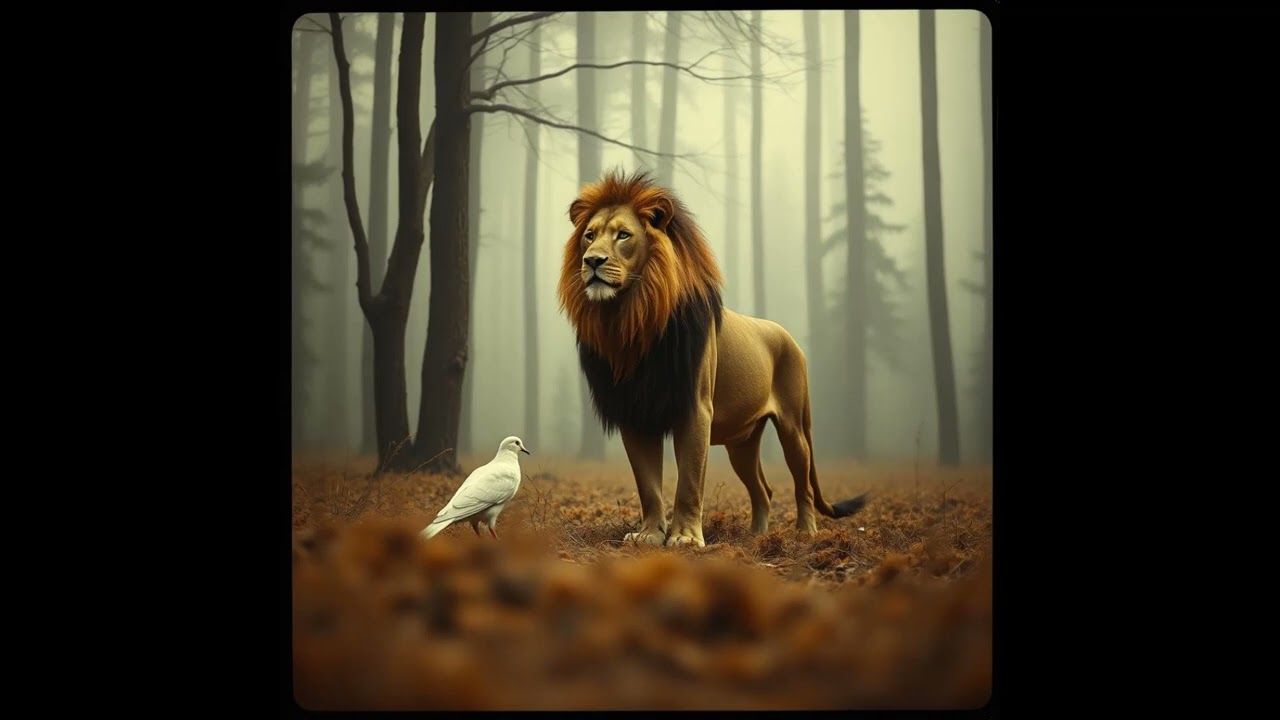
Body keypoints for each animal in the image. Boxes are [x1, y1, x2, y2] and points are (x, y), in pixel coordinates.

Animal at [556, 170, 867, 548]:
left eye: (623, 235)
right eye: (589, 235)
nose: (591, 261)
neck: (630, 319)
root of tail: (789, 337)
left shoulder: (695, 408)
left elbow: (689, 481)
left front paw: (686, 538)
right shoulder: (635, 411)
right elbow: (648, 486)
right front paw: (649, 534)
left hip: (793, 426)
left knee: (803, 484)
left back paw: (805, 532)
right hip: (742, 441)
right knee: (762, 490)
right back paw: (755, 536)